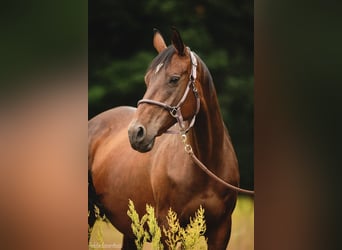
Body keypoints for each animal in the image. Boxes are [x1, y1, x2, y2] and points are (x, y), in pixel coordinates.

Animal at [88, 28, 240, 249]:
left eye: (174, 79)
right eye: (147, 80)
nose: (135, 133)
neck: (207, 162)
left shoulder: (221, 231)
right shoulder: (169, 229)